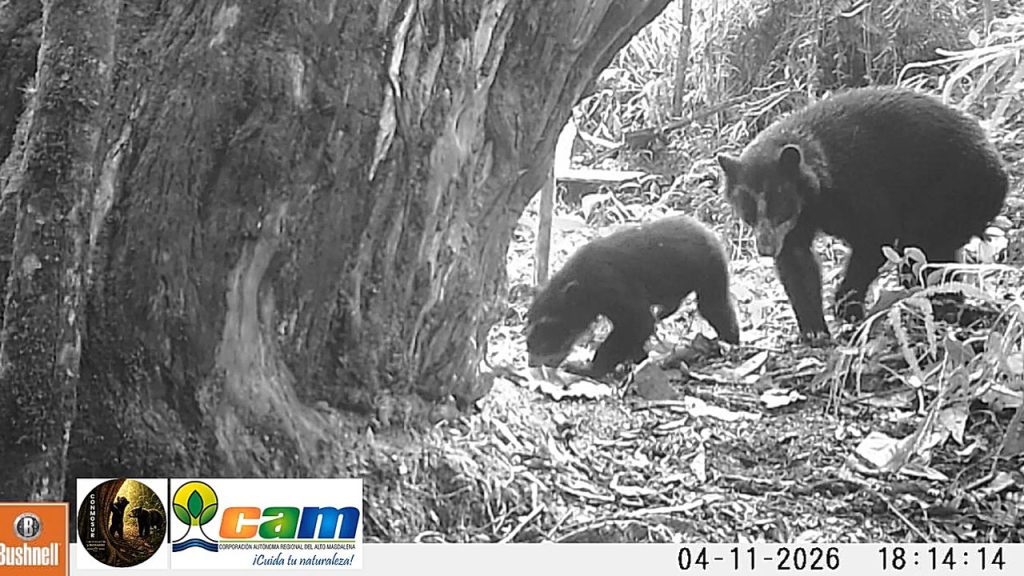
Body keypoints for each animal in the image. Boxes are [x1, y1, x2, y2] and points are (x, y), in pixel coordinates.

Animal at [526, 214, 740, 376]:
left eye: (548, 326)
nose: (531, 362)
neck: (584, 283)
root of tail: (713, 235)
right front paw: (638, 358)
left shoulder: (613, 287)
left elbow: (637, 323)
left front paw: (587, 368)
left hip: (710, 270)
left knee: (714, 306)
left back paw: (731, 342)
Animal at [717, 86, 1008, 337]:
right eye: (748, 213)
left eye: (780, 207)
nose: (765, 248)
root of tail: (1000, 168)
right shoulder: (796, 225)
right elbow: (797, 262)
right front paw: (814, 329)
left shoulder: (855, 186)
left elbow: (875, 236)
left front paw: (846, 305)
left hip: (954, 189)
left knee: (923, 251)